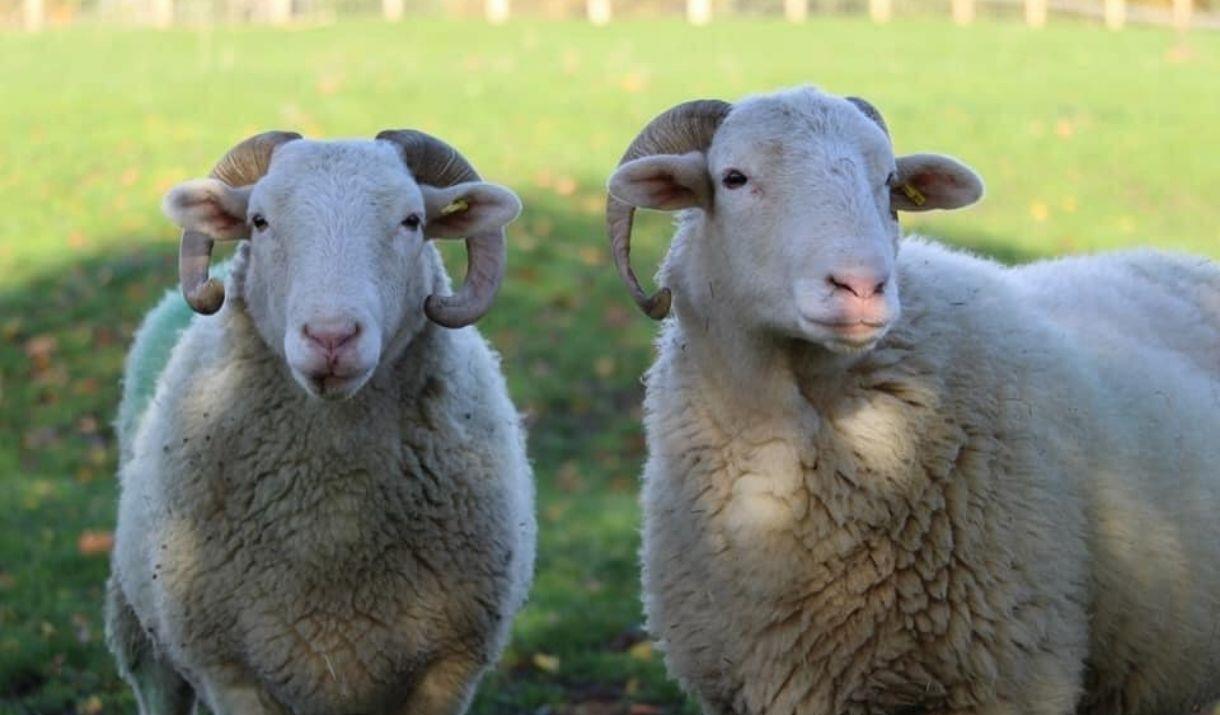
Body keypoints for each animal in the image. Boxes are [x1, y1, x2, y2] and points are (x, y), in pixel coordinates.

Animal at [107, 130, 536, 712]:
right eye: (259, 221)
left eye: (413, 221)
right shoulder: (230, 672)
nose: (331, 337)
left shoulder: (450, 669)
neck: (336, 514)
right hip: (147, 637)